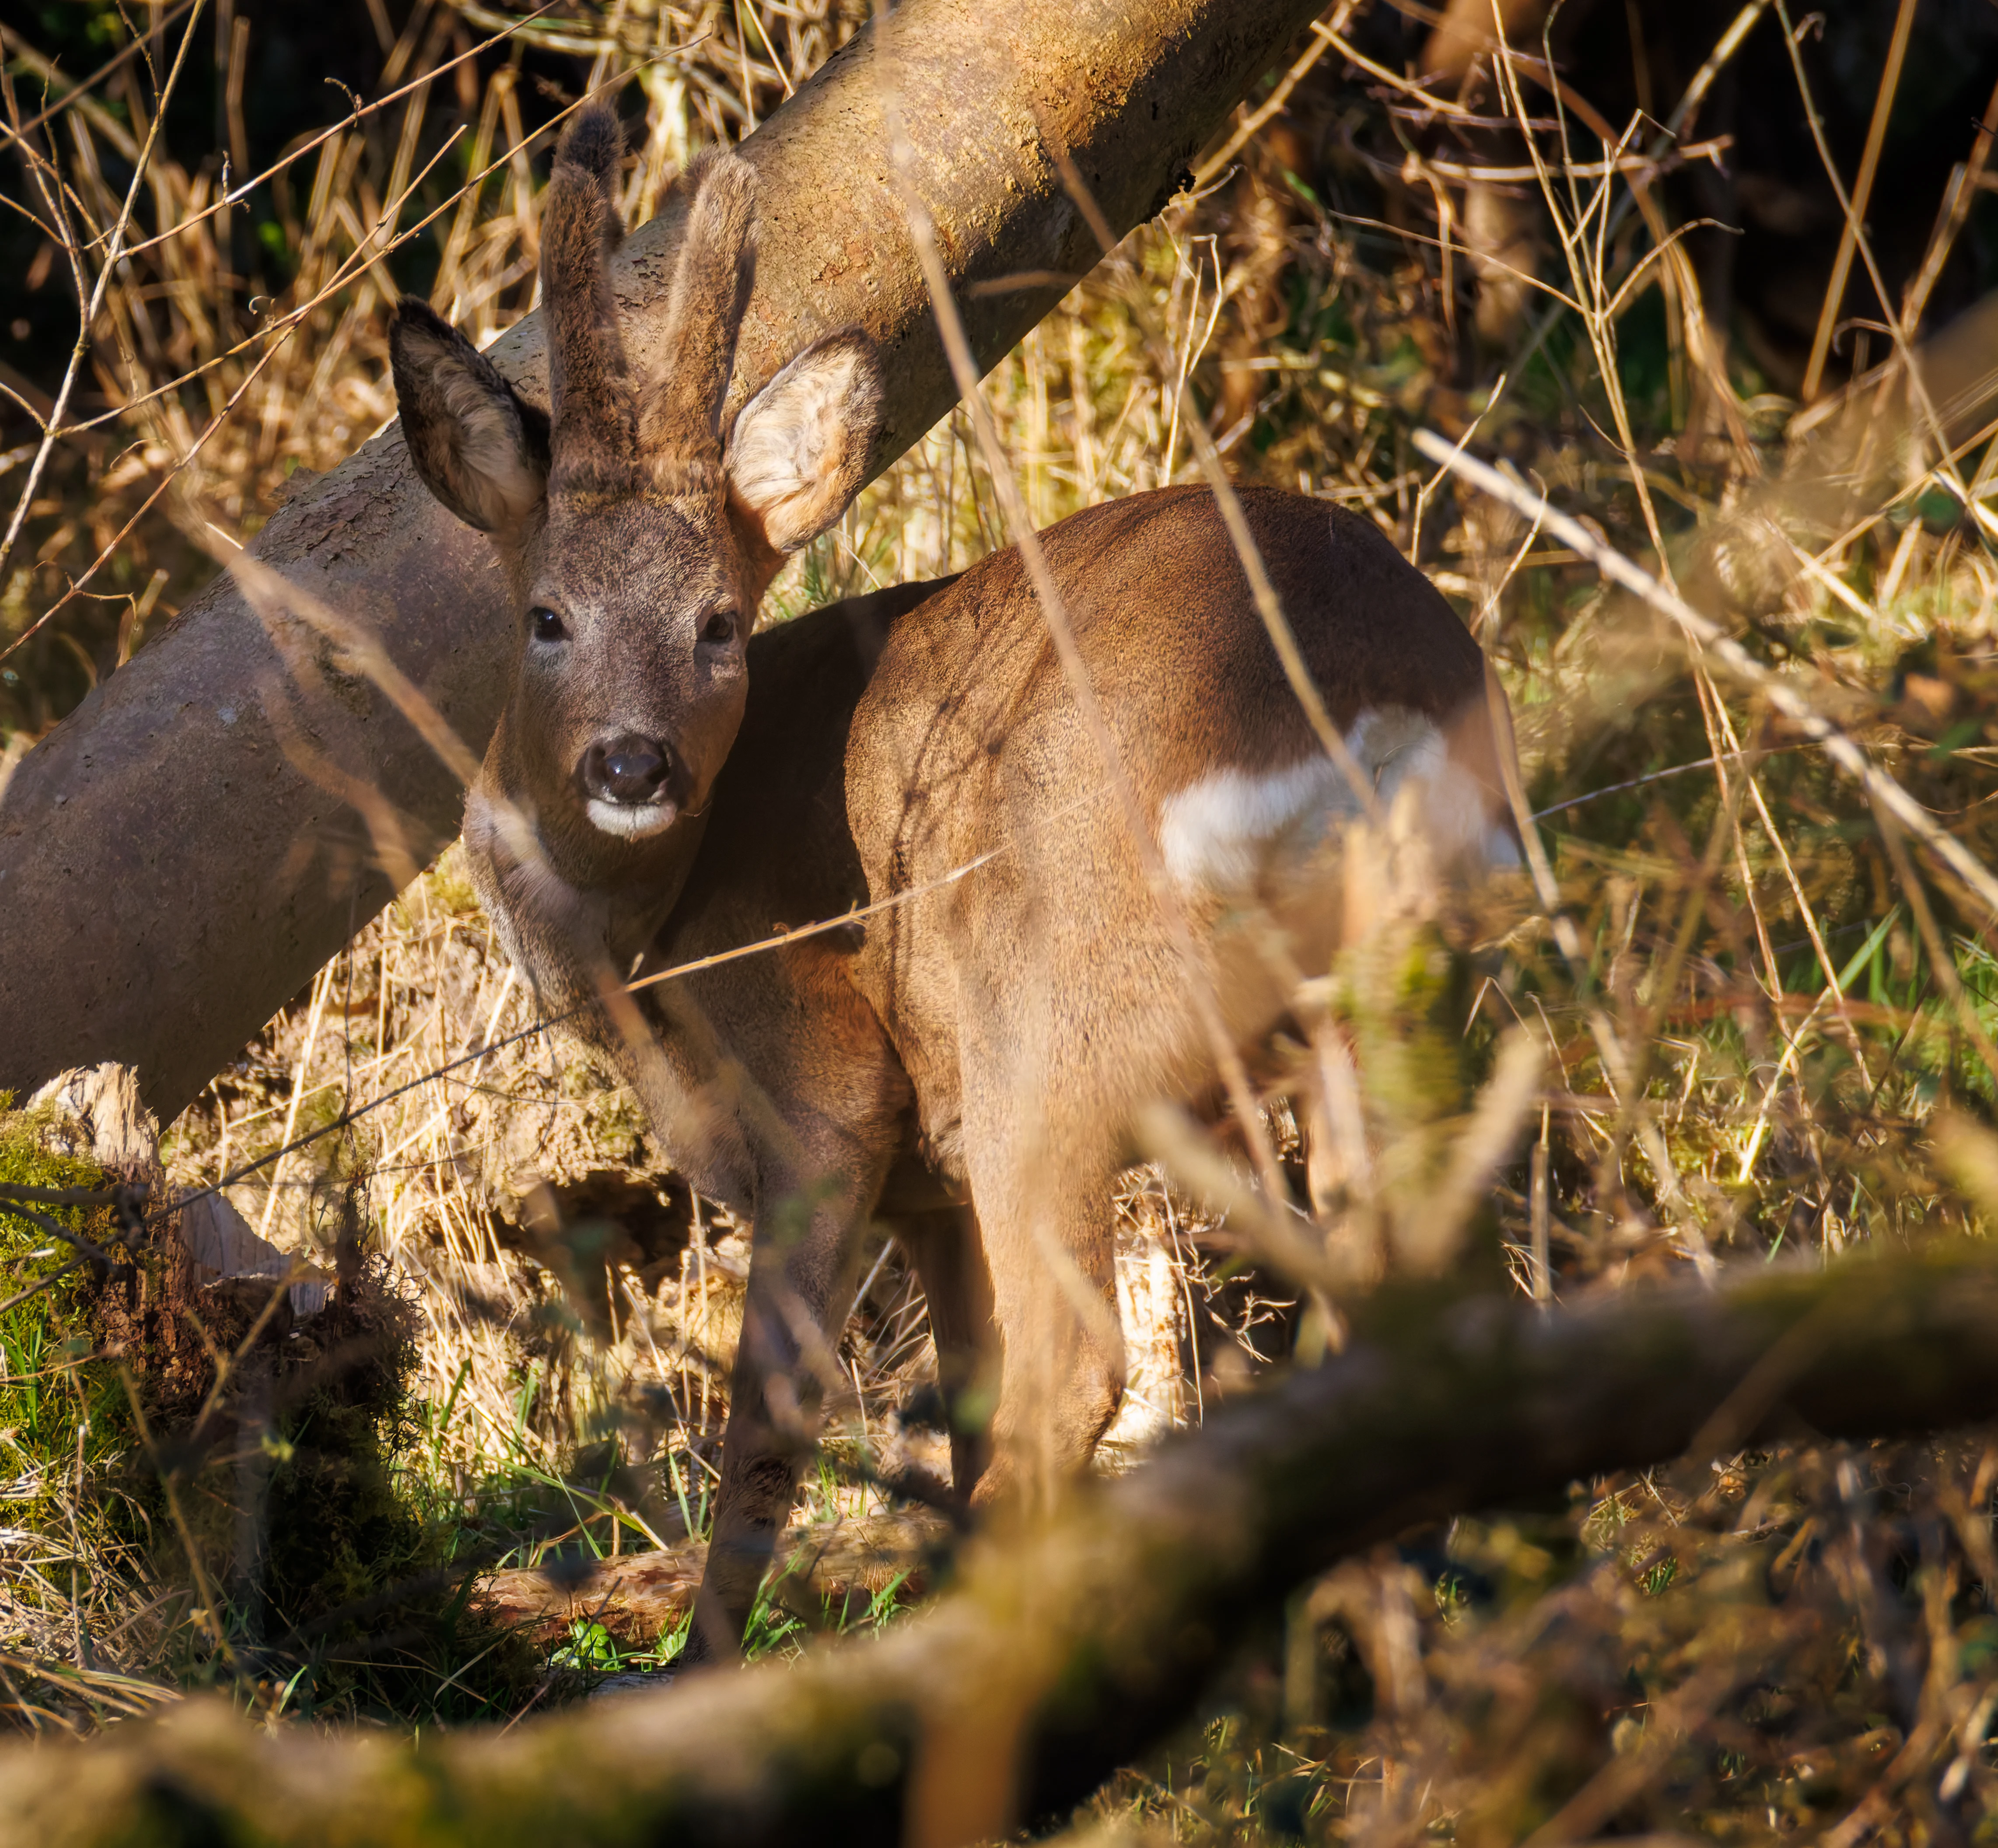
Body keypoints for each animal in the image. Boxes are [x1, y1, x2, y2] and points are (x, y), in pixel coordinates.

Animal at [388, 102, 1523, 1666]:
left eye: (718, 623)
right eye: (547, 617)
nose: (630, 761)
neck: (645, 952)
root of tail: (1359, 704)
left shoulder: (828, 1092)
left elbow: (772, 1422)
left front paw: (702, 1669)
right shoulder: (925, 1185)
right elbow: (962, 1402)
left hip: (1049, 1021)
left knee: (1086, 1364)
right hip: (1373, 1006)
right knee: (1389, 1305)